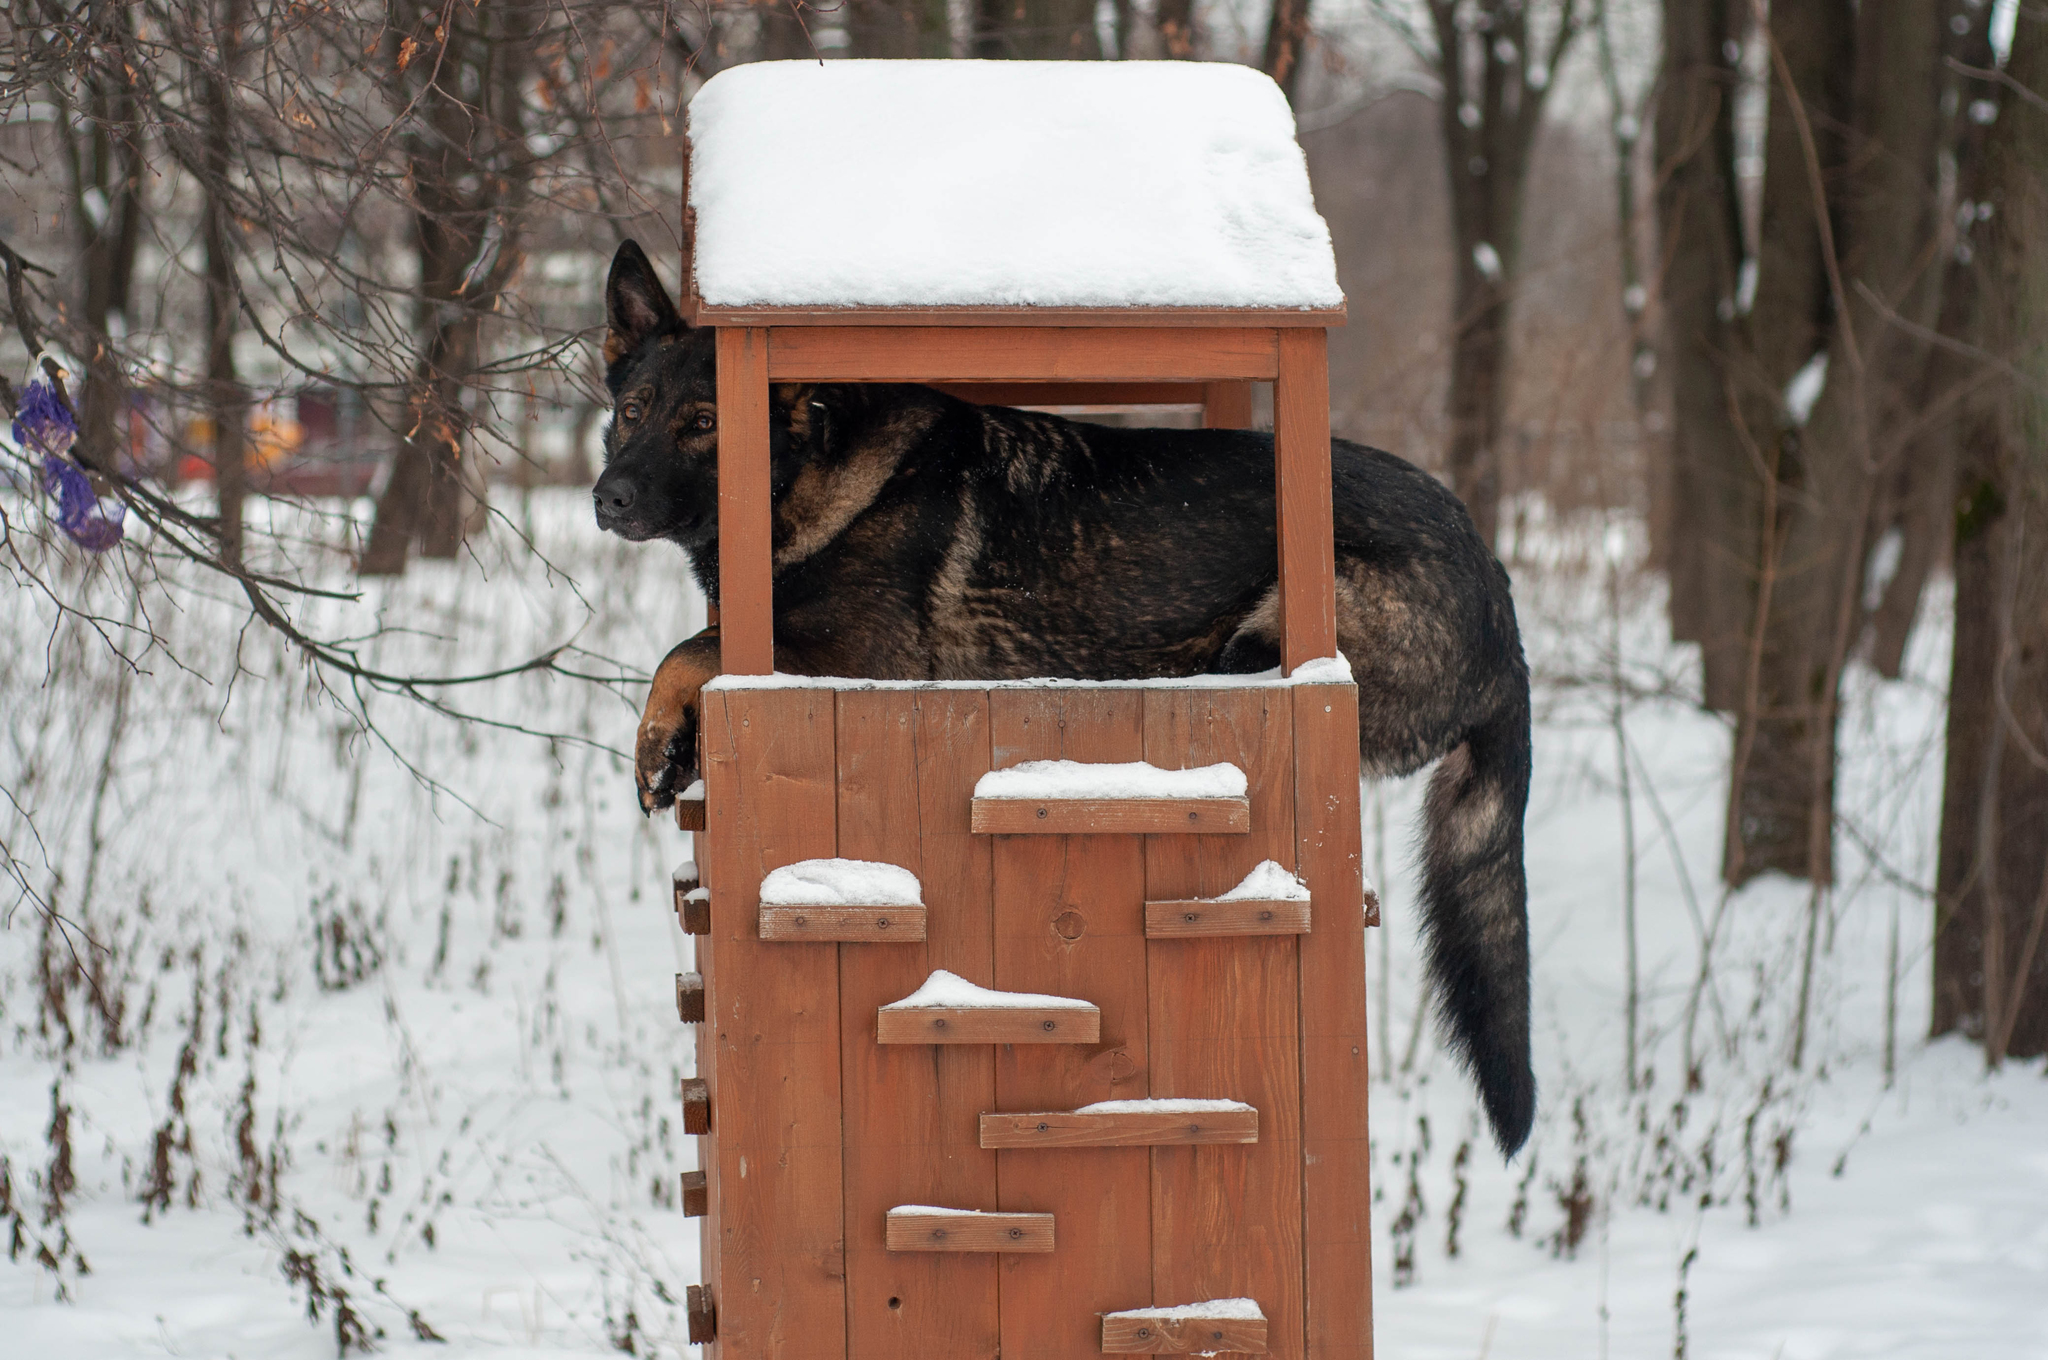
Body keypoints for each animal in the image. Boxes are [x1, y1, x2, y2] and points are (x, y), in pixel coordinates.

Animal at [593, 238, 1540, 1155]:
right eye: (633, 411)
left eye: (704, 424)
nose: (608, 497)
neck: (811, 473)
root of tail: (1502, 602)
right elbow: (696, 647)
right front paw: (671, 750)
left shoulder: (862, 653)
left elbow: (688, 648)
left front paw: (655, 742)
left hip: (1273, 630)